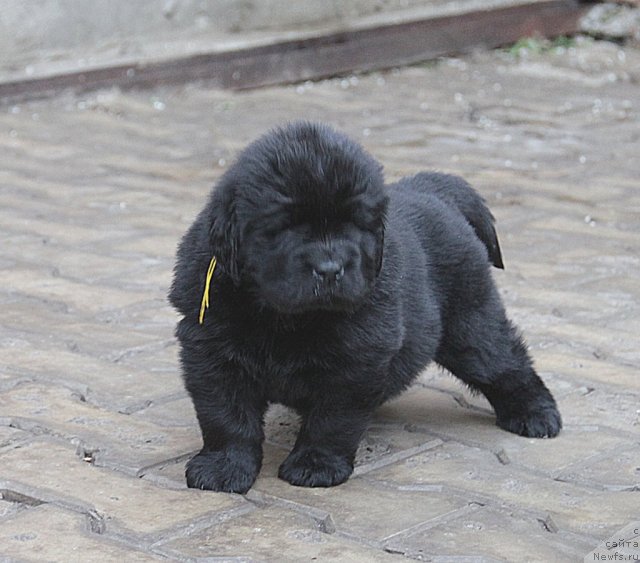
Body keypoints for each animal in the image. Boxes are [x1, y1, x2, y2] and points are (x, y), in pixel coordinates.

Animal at [169, 120, 560, 494]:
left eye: (355, 224)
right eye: (285, 226)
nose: (329, 269)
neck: (288, 319)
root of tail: (431, 189)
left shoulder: (357, 358)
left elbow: (332, 419)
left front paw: (316, 465)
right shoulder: (212, 351)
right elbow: (227, 416)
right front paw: (223, 467)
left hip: (470, 324)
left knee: (504, 362)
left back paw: (537, 415)